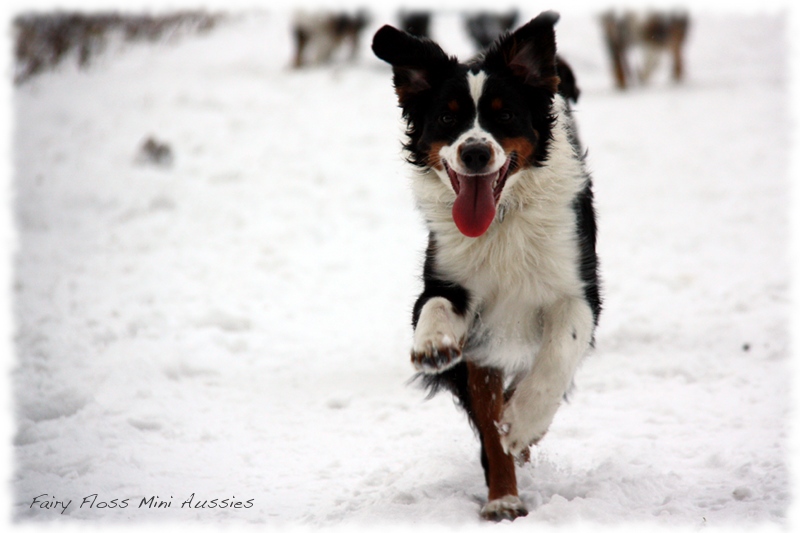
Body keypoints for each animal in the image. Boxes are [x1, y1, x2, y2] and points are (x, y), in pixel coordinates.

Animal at [374, 11, 600, 520]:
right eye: (446, 117)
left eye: (505, 114)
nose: (475, 152)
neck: (501, 220)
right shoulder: (452, 283)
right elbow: (435, 306)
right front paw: (433, 344)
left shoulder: (577, 289)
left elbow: (557, 355)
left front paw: (525, 420)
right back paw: (504, 498)